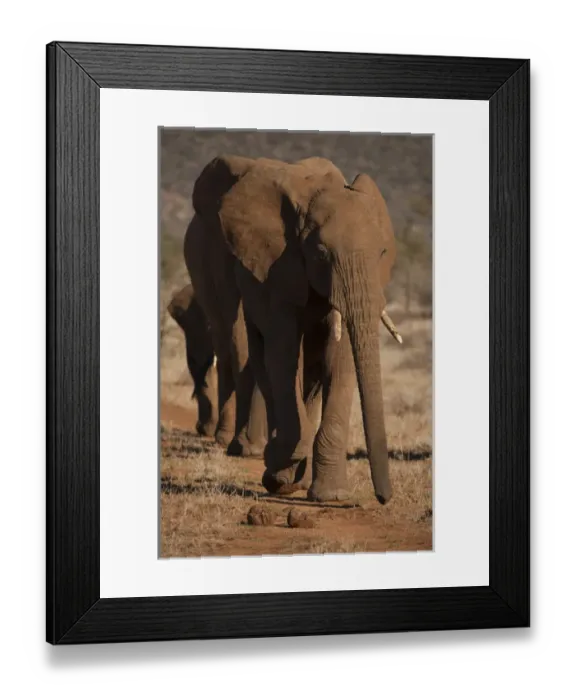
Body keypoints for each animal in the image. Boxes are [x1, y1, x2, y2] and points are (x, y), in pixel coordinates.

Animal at [192, 154, 402, 505]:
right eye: (320, 254)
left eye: (383, 253)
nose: (384, 498)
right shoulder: (277, 272)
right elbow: (284, 354)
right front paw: (280, 466)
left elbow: (340, 360)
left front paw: (331, 497)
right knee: (263, 359)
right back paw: (280, 468)